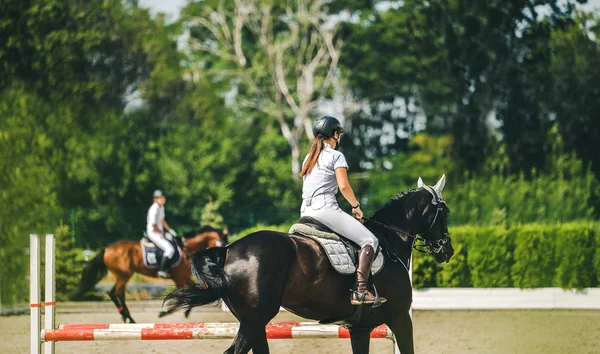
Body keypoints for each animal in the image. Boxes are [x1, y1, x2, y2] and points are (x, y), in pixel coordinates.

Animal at [68, 225, 223, 322]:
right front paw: (166, 312)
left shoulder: (184, 277)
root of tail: (107, 249)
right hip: (124, 275)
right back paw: (128, 317)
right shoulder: (179, 277)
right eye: (222, 242)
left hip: (123, 276)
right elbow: (183, 293)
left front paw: (185, 310)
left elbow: (192, 290)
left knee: (119, 294)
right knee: (114, 293)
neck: (186, 249)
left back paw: (128, 318)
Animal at [165, 176, 454, 352]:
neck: (389, 239)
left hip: (252, 323)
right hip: (254, 320)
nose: (448, 251)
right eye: (445, 213)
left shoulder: (360, 329)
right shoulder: (400, 318)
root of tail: (228, 250)